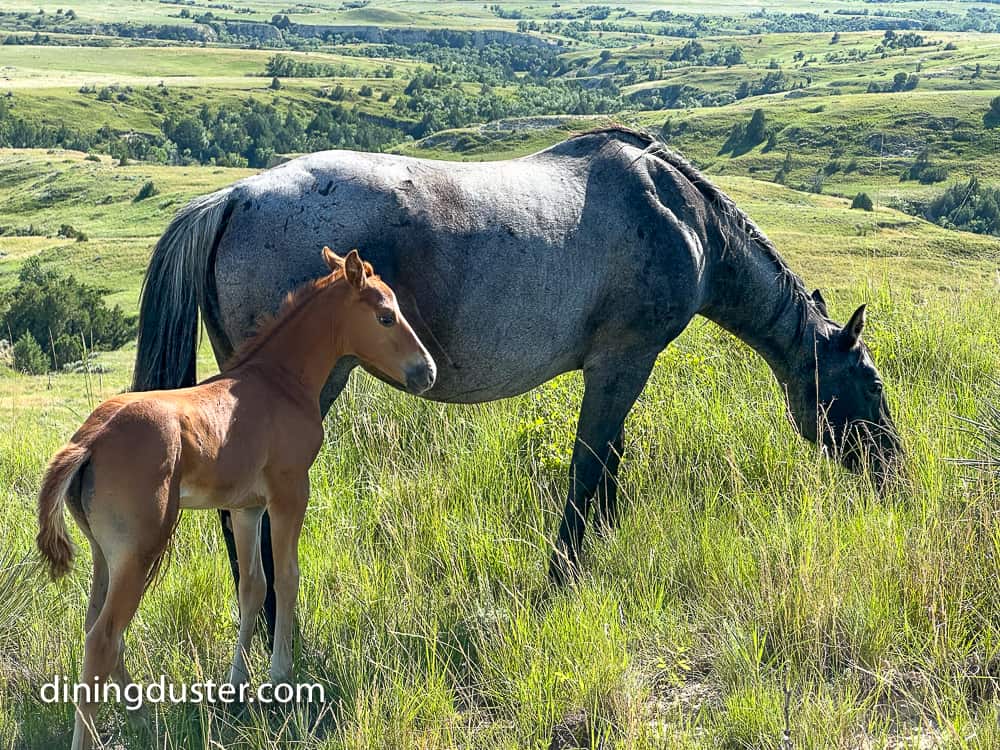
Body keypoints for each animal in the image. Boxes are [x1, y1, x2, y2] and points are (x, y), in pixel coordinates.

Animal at [37, 249, 435, 750]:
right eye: (386, 315)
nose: (427, 372)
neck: (278, 381)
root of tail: (89, 438)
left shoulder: (246, 508)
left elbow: (252, 588)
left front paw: (236, 688)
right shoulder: (289, 492)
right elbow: (286, 578)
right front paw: (279, 678)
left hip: (104, 553)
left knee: (97, 626)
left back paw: (143, 715)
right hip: (139, 549)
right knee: (103, 636)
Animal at [132, 126, 902, 643]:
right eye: (869, 382)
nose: (893, 470)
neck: (680, 215)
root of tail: (234, 197)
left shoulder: (617, 370)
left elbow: (608, 465)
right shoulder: (624, 362)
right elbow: (589, 469)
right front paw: (564, 575)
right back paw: (273, 627)